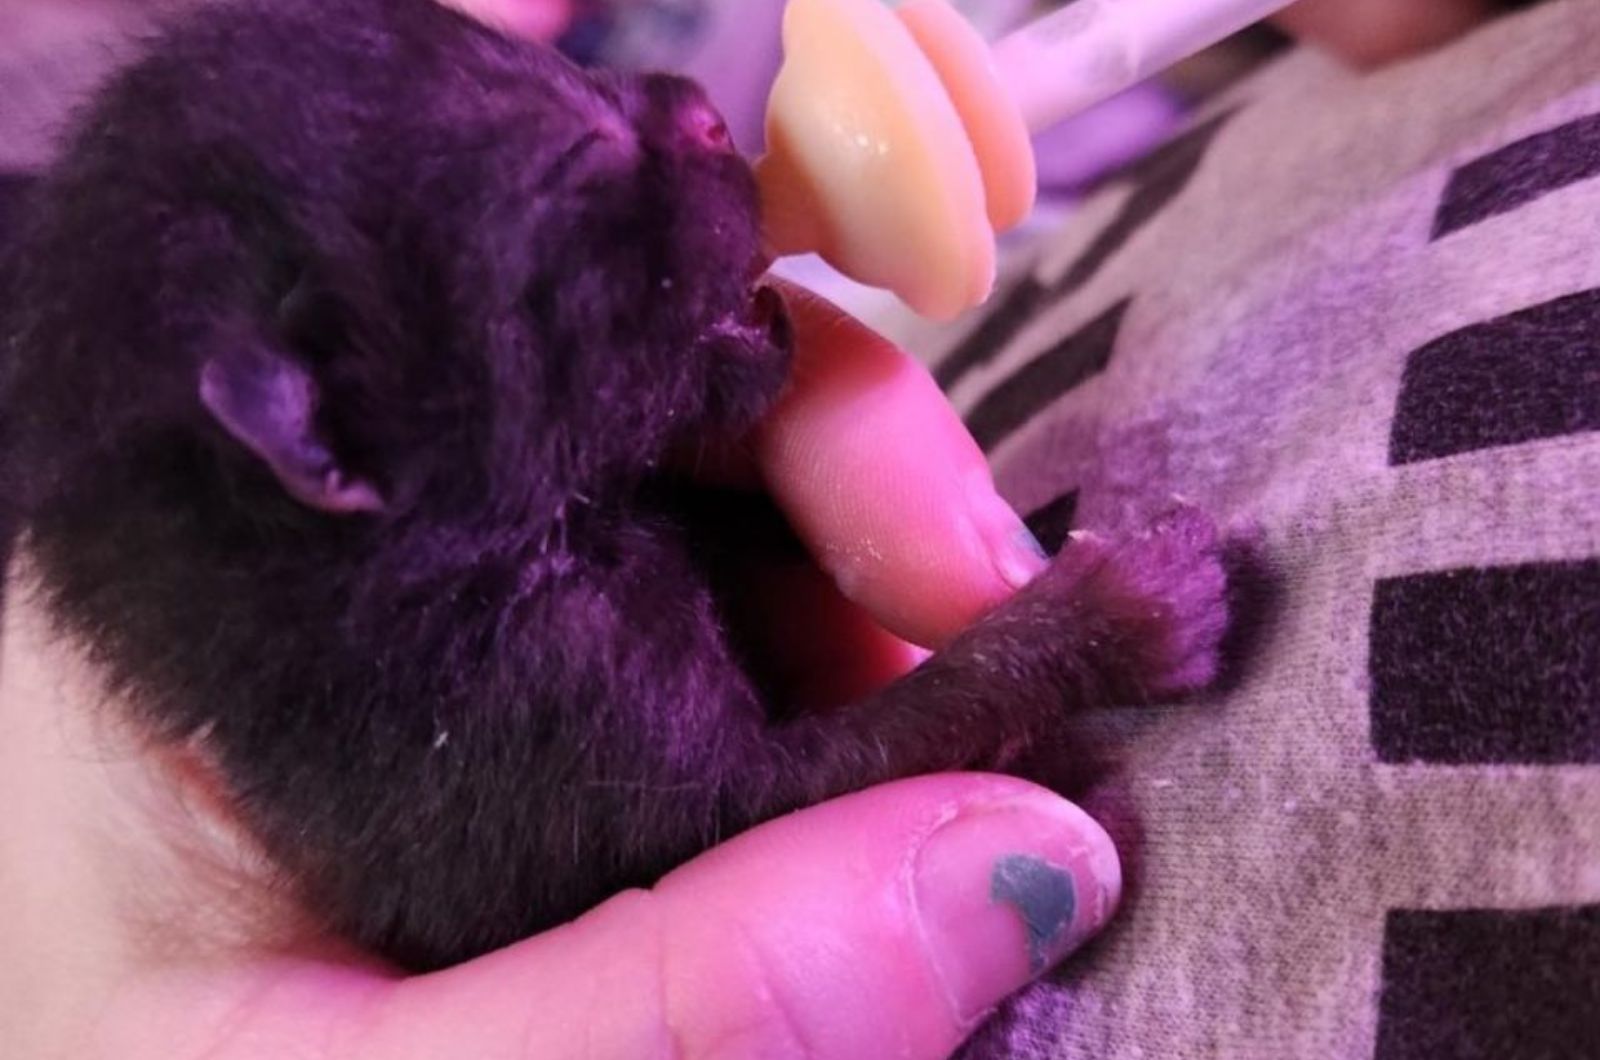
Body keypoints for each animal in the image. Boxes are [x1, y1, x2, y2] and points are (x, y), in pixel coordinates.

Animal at [0, 0, 1228, 973]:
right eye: (574, 169)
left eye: (559, 71)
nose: (708, 114)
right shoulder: (556, 705)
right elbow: (788, 790)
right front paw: (1121, 613)